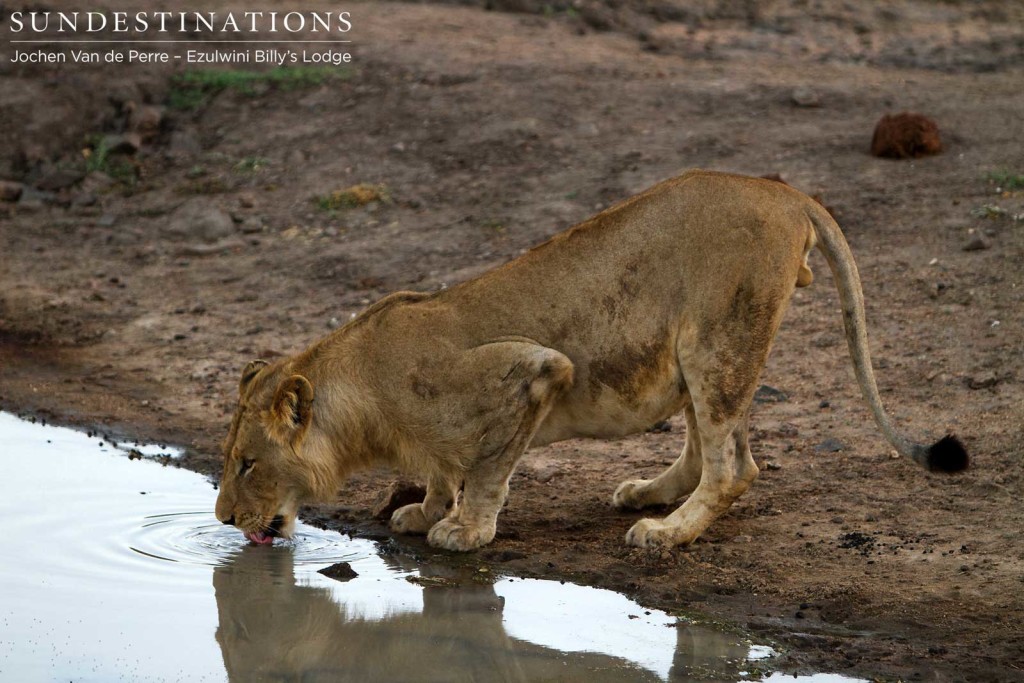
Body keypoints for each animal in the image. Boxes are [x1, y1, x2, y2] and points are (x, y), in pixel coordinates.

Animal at [214, 169, 966, 548]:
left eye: (248, 463)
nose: (221, 520)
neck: (362, 399)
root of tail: (786, 190)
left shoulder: (533, 371)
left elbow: (485, 470)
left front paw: (465, 529)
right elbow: (442, 468)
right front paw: (425, 510)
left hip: (718, 335)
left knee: (734, 465)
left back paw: (667, 531)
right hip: (697, 350)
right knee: (710, 447)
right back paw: (652, 492)